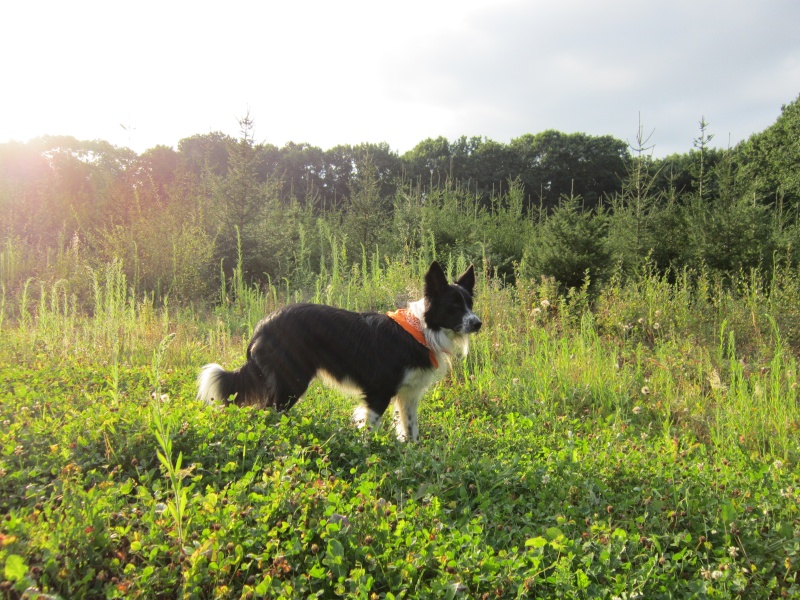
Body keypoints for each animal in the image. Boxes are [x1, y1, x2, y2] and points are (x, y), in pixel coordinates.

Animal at [197, 262, 482, 440]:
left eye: (469, 303)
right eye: (453, 306)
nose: (478, 323)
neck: (421, 329)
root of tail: (262, 326)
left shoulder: (409, 394)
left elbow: (410, 430)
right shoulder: (378, 391)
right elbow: (369, 428)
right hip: (291, 382)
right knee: (268, 411)